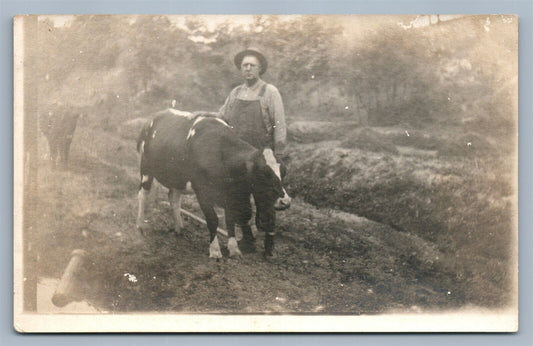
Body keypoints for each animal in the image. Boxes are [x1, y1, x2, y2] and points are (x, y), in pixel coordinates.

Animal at [134, 109, 290, 258]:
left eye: (283, 173)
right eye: (263, 174)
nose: (286, 202)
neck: (220, 153)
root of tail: (153, 117)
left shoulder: (231, 194)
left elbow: (230, 219)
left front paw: (234, 249)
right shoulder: (202, 191)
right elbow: (212, 219)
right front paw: (215, 251)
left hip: (177, 177)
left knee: (173, 197)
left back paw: (179, 228)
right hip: (146, 168)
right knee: (143, 195)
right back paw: (140, 227)